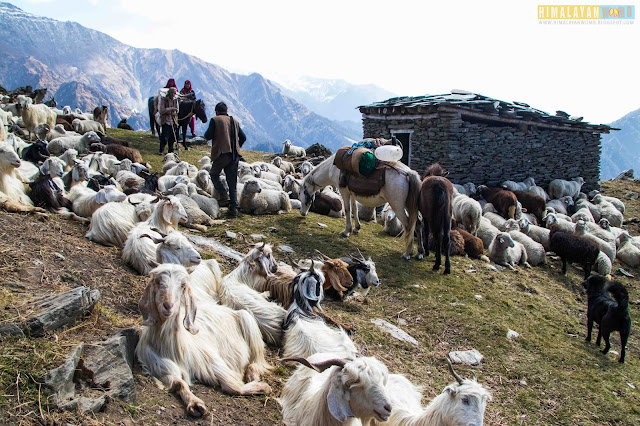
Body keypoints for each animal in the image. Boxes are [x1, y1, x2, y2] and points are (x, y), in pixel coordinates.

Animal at [136, 262, 272, 416]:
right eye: (158, 282)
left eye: (183, 285)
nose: (168, 306)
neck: (173, 346)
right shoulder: (161, 367)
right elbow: (178, 383)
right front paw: (195, 404)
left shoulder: (212, 361)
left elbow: (233, 386)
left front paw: (263, 387)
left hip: (247, 320)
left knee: (258, 361)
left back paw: (252, 375)